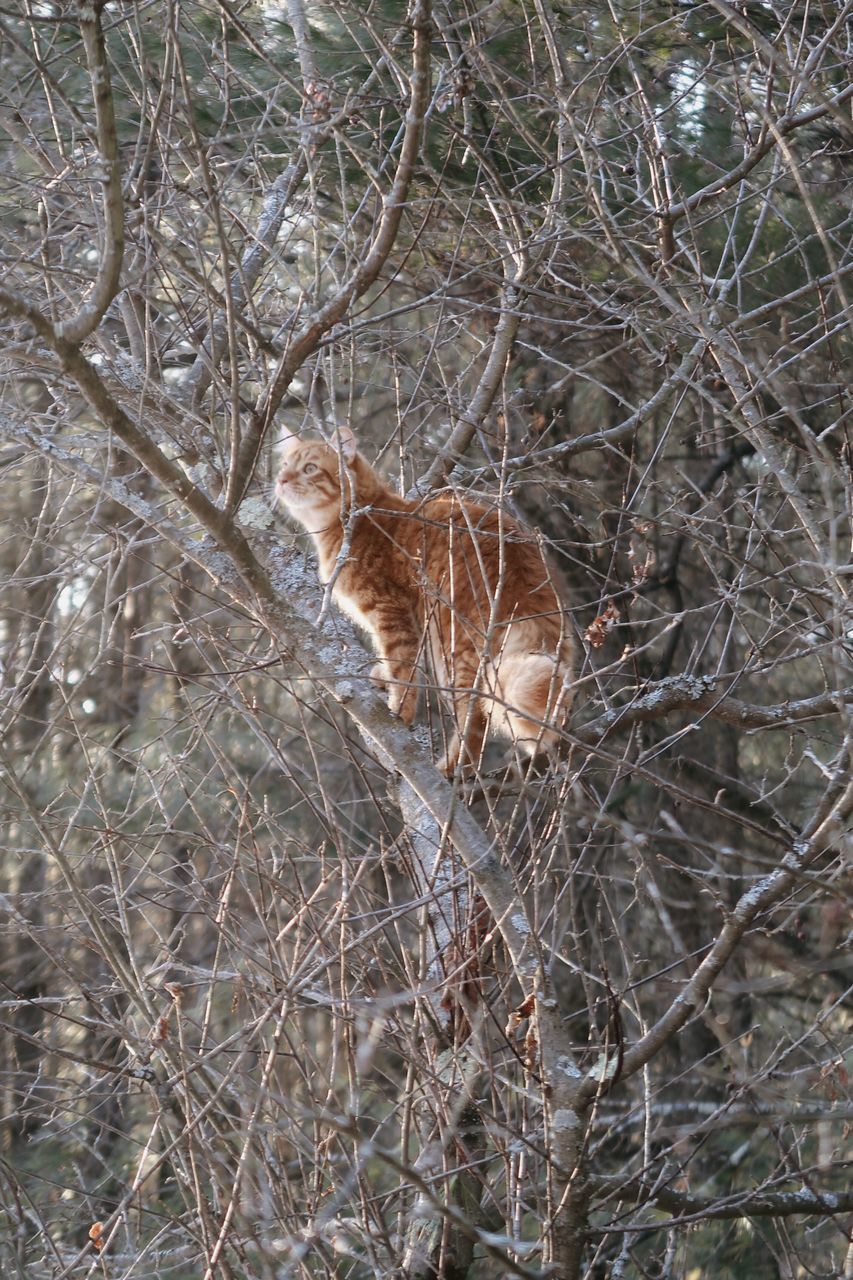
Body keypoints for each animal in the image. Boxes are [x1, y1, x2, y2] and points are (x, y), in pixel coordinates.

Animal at [275, 424, 573, 773]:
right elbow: (390, 661)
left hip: (453, 649)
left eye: (309, 468)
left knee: (474, 719)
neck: (354, 519)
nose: (281, 480)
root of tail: (519, 558)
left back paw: (453, 769)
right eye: (285, 466)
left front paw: (400, 711)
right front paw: (383, 677)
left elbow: (403, 668)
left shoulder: (390, 611)